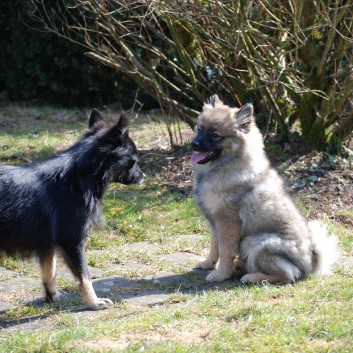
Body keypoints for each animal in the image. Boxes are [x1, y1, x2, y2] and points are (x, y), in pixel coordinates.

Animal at [0, 109, 143, 308]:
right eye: (134, 161)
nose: (143, 177)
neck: (82, 176)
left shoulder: (48, 242)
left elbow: (49, 270)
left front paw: (51, 296)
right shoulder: (72, 240)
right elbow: (84, 275)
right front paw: (95, 302)